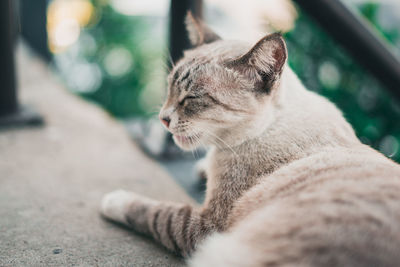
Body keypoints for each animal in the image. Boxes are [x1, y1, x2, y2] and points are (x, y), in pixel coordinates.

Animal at [101, 13, 400, 266]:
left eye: (192, 98)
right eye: (169, 88)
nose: (163, 119)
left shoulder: (206, 228)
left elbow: (152, 212)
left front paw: (114, 200)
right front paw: (201, 170)